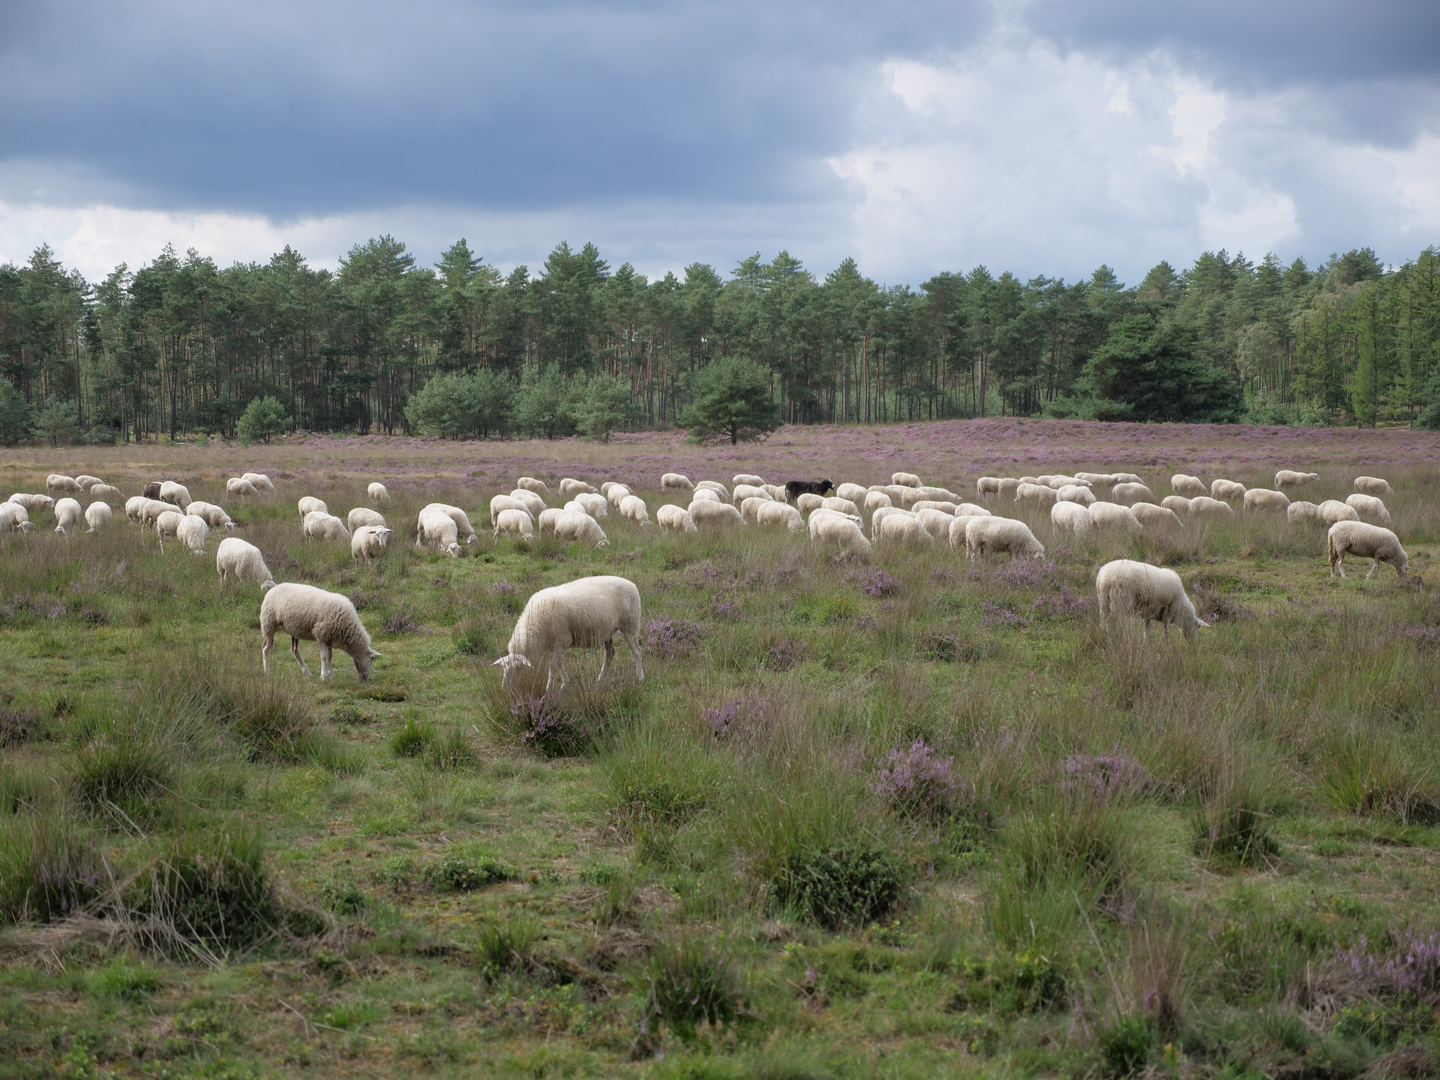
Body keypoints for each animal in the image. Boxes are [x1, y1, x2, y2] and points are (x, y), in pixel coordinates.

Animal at [492, 576, 642, 693]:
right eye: (503, 669)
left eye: (517, 668)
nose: (504, 689)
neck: (534, 624)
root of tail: (632, 584)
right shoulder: (555, 643)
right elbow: (560, 663)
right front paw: (565, 683)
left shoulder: (562, 640)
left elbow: (552, 665)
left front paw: (549, 688)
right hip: (608, 630)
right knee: (609, 653)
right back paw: (600, 679)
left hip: (631, 624)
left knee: (636, 652)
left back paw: (640, 677)